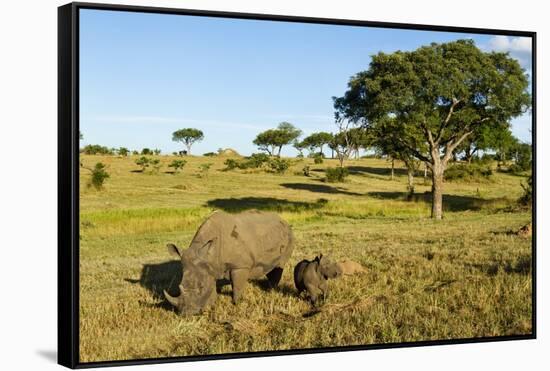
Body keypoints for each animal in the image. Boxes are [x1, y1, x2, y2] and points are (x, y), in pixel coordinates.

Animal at [164, 211, 296, 316]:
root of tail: (284, 221)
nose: (186, 314)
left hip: (289, 236)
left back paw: (270, 291)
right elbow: (213, 285)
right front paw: (212, 304)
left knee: (280, 265)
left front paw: (236, 304)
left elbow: (237, 286)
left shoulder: (240, 266)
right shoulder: (211, 266)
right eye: (179, 286)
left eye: (201, 287)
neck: (209, 254)